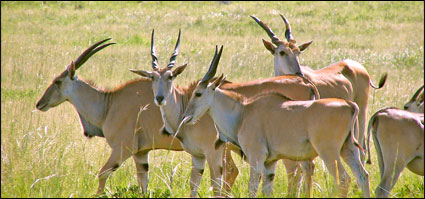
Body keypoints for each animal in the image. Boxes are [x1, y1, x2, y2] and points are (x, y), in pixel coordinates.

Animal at [34, 38, 185, 194]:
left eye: (57, 81)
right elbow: (143, 182)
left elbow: (102, 174)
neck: (109, 104)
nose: (40, 103)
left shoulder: (122, 149)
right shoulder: (141, 153)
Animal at [129, 30, 322, 197]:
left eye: (170, 76)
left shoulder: (215, 152)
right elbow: (194, 185)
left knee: (298, 171)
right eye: (153, 77)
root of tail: (305, 82)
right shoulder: (197, 157)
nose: (160, 98)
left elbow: (217, 184)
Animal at [178, 45, 368, 197]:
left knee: (343, 179)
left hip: (329, 152)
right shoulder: (270, 163)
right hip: (348, 149)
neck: (243, 112)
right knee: (363, 176)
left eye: (198, 93)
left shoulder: (256, 158)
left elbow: (252, 188)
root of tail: (350, 105)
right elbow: (266, 190)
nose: (186, 117)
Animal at [252, 14, 388, 160]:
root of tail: (360, 67)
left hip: (361, 111)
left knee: (361, 145)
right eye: (282, 52)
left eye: (298, 52)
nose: (299, 74)